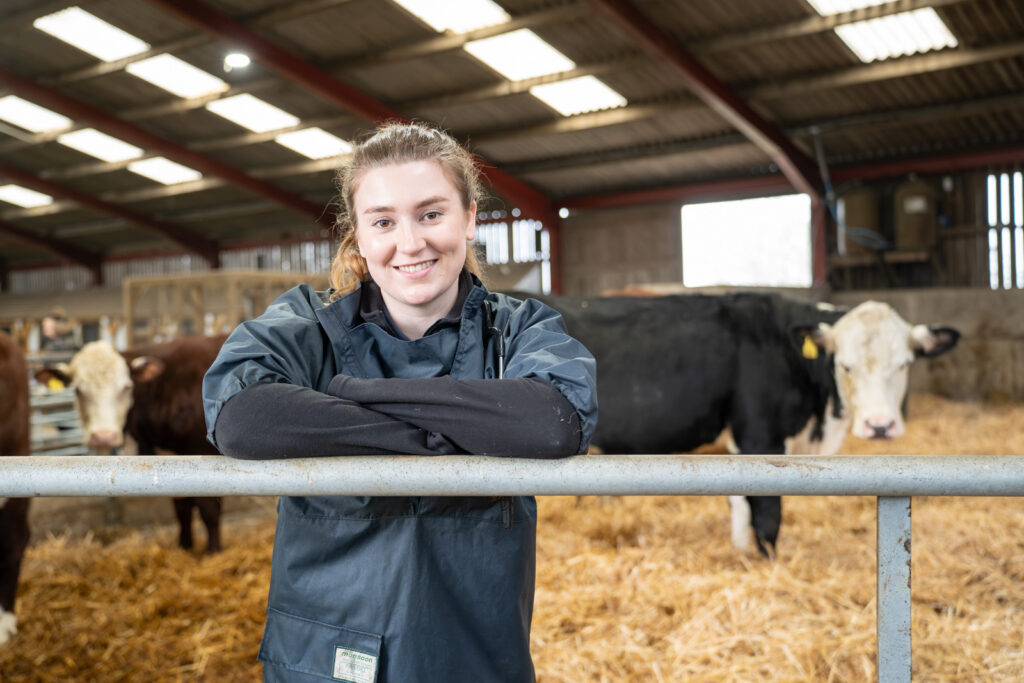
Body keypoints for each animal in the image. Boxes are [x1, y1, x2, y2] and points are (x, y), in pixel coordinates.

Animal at [38, 335, 228, 557]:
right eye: (77, 390)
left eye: (126, 387)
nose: (103, 437)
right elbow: (182, 506)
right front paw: (184, 547)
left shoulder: (203, 453)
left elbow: (209, 509)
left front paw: (213, 552)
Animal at [528, 290, 958, 557]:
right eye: (845, 364)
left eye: (904, 364)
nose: (879, 425)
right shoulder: (761, 436)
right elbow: (767, 513)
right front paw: (770, 562)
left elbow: (738, 501)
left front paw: (739, 551)